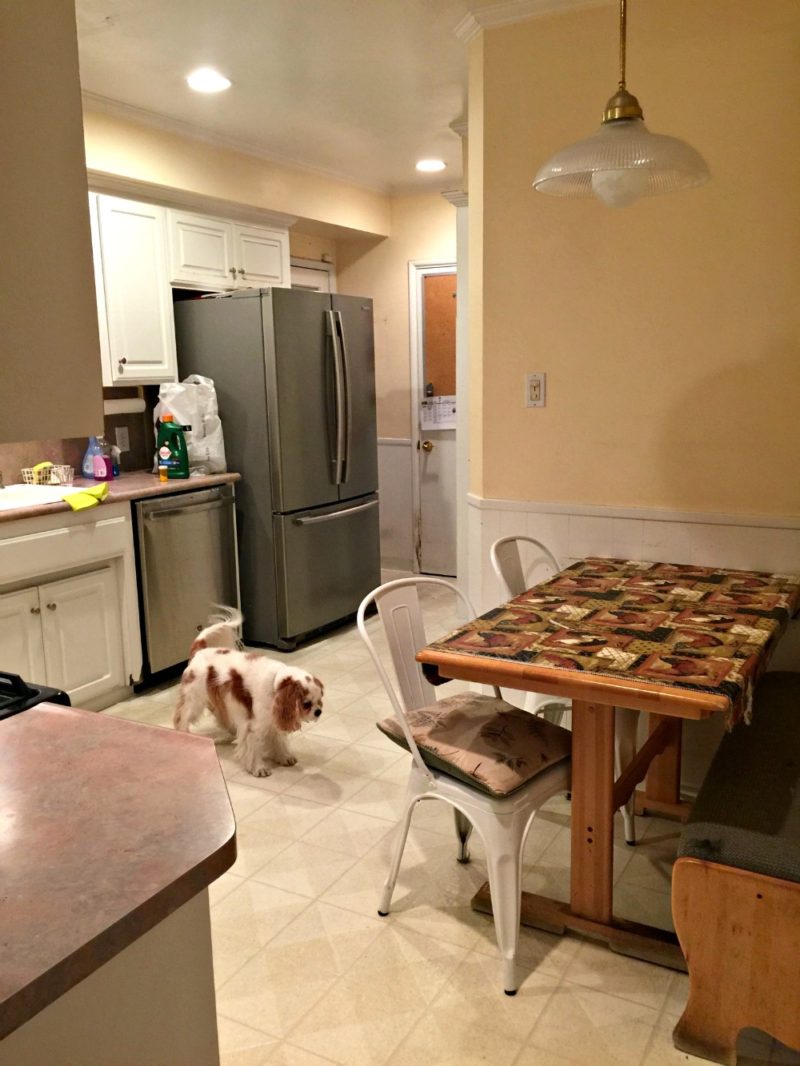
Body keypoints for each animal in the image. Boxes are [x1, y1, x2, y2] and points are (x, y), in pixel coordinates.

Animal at [174, 609, 326, 776]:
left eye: (320, 701)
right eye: (306, 704)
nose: (318, 712)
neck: (274, 684)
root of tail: (199, 651)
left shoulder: (272, 719)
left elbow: (277, 739)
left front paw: (284, 757)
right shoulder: (253, 725)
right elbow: (253, 747)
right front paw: (259, 768)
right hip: (193, 700)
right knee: (182, 719)